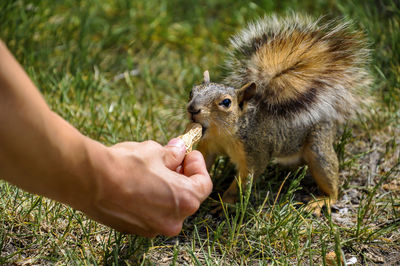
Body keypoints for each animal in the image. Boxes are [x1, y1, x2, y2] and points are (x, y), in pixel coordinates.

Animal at [187, 14, 372, 210]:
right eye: (191, 91)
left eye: (226, 102)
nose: (192, 109)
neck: (223, 134)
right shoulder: (209, 145)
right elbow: (203, 161)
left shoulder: (254, 152)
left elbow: (244, 181)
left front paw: (225, 203)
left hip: (319, 144)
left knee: (329, 177)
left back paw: (323, 200)